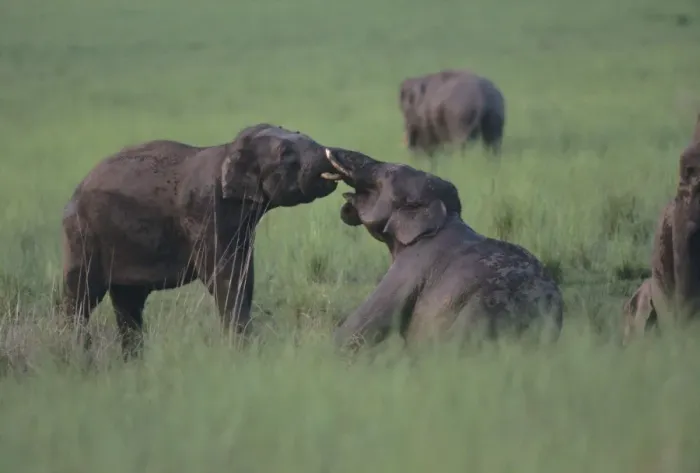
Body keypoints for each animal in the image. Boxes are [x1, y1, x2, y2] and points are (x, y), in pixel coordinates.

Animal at [61, 123, 342, 359]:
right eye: (285, 153)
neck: (228, 151)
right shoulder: (206, 214)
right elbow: (224, 277)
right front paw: (242, 351)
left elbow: (244, 275)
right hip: (82, 235)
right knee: (82, 296)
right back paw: (76, 357)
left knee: (129, 303)